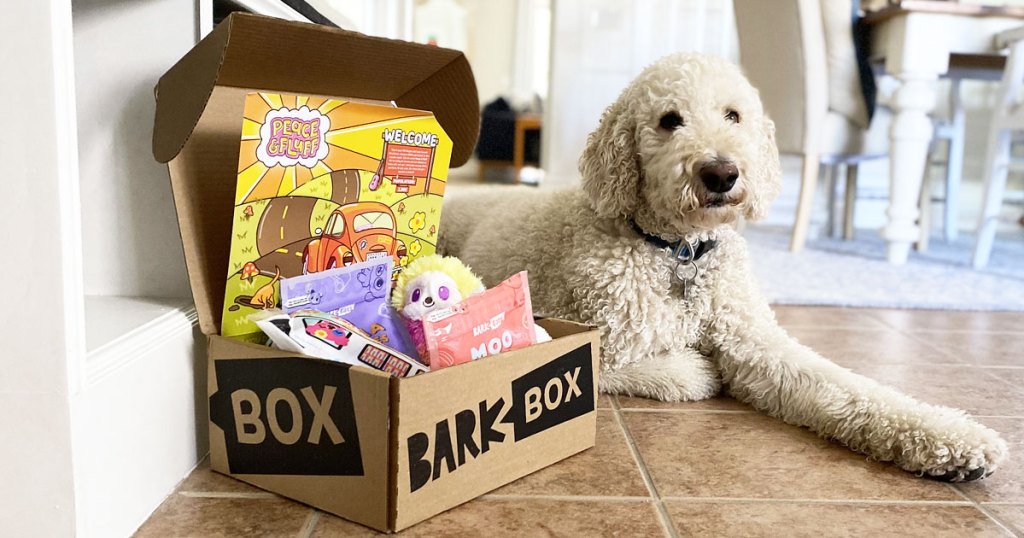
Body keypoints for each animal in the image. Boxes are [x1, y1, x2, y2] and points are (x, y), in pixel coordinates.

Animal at [436, 51, 1003, 477]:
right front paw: (694, 368)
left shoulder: (756, 342)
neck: (678, 252)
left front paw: (953, 440)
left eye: (733, 115)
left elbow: (842, 387)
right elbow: (682, 374)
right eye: (669, 121)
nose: (721, 173)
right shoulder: (603, 341)